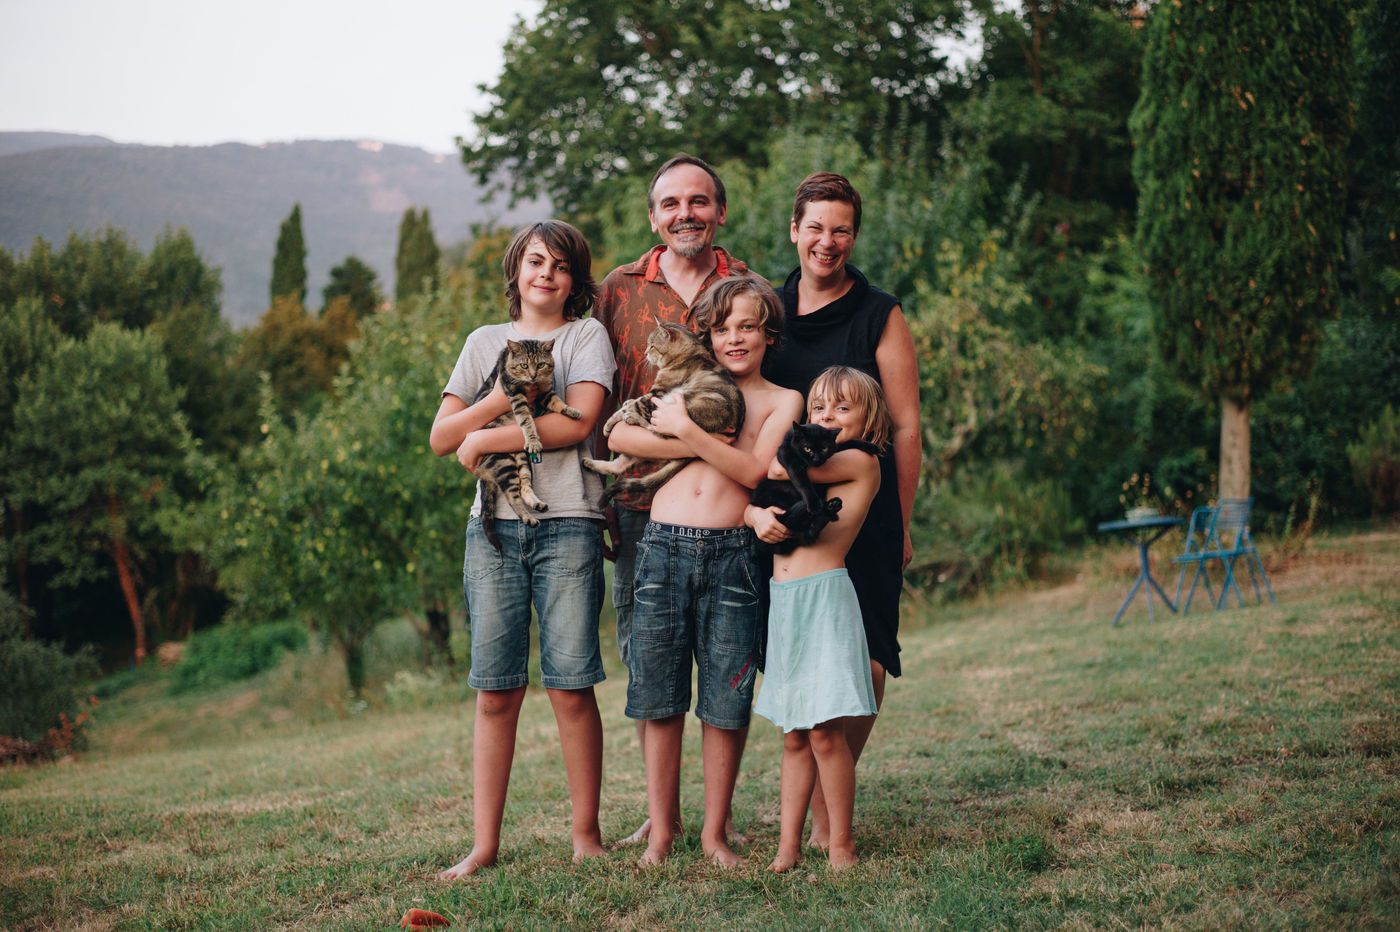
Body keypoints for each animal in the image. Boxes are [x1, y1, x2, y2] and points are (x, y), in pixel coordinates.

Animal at [471, 338, 581, 551]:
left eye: (540, 364)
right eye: (523, 365)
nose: (532, 375)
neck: (533, 384)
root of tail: (483, 472)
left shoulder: (545, 390)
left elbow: (557, 402)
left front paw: (571, 410)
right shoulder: (516, 394)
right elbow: (526, 419)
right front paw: (533, 439)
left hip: (522, 461)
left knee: (524, 487)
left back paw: (538, 505)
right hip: (503, 463)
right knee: (512, 497)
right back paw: (528, 518)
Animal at [582, 322, 745, 504]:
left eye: (652, 345)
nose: (645, 352)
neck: (689, 356)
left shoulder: (657, 394)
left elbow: (632, 406)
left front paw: (611, 422)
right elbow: (633, 403)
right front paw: (627, 404)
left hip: (685, 403)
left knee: (656, 429)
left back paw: (632, 418)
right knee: (621, 464)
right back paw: (590, 463)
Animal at [749, 422, 880, 555]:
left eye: (824, 449)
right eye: (807, 449)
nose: (817, 460)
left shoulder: (835, 450)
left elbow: (846, 443)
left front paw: (871, 447)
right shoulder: (790, 459)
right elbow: (803, 482)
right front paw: (814, 504)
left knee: (810, 530)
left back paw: (832, 508)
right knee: (790, 522)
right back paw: (826, 508)